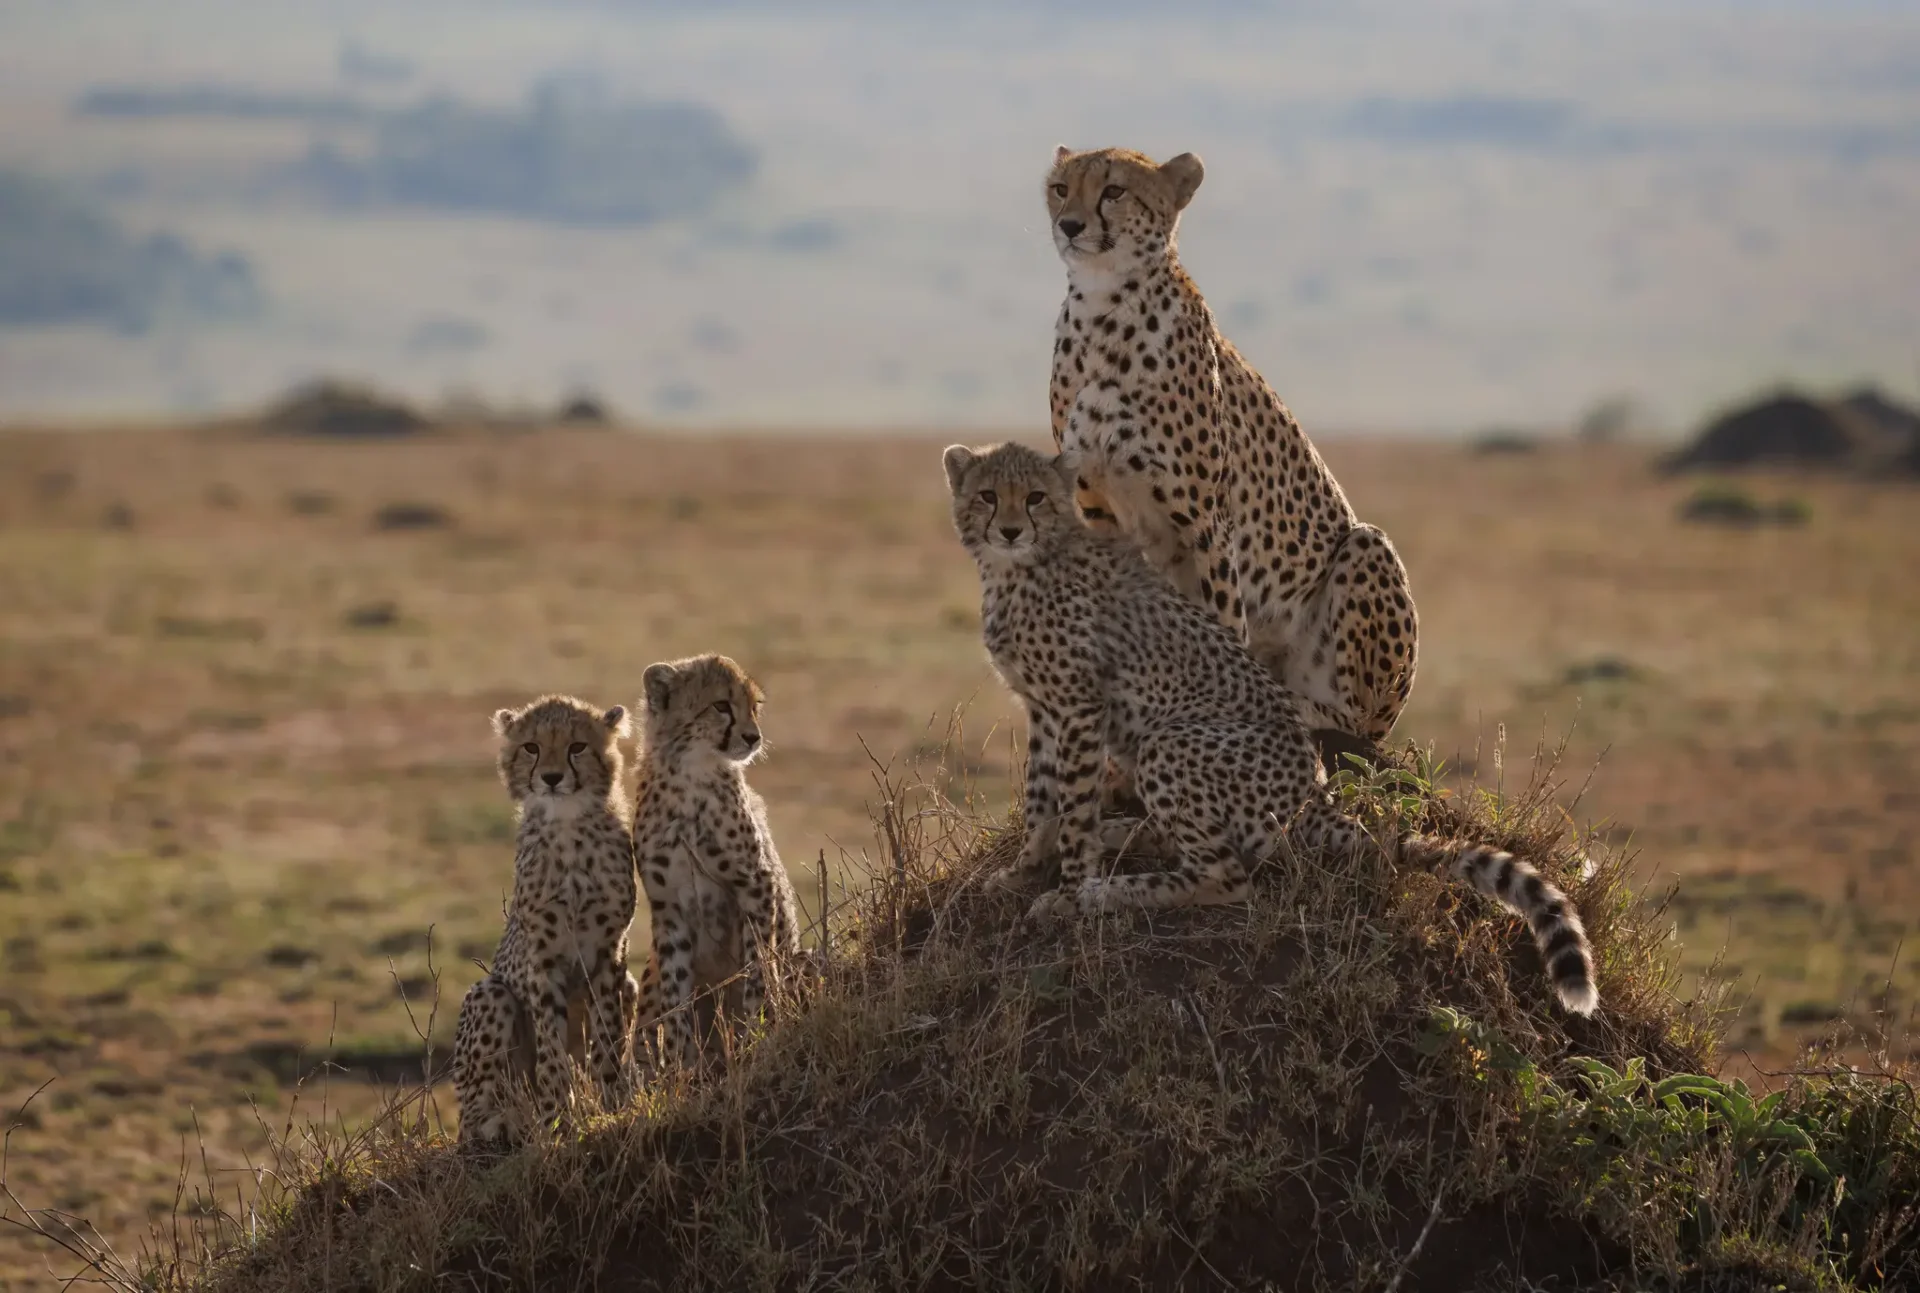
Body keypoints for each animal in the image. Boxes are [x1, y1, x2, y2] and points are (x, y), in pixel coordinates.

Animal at [452, 695, 641, 1149]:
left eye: (577, 747)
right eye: (532, 748)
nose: (552, 778)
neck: (568, 827)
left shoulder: (610, 954)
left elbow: (607, 1038)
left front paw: (611, 1107)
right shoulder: (542, 958)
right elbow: (552, 1051)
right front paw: (559, 1120)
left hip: (629, 984)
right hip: (490, 995)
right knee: (471, 1118)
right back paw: (504, 1122)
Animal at [631, 654, 802, 1066]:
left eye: (755, 706)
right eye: (721, 705)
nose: (753, 737)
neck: (690, 780)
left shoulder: (755, 884)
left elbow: (758, 966)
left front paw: (758, 1030)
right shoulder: (669, 907)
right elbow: (675, 993)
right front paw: (680, 1064)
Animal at [945, 439, 1597, 1015]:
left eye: (1035, 498)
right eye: (987, 496)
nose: (1010, 530)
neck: (1021, 568)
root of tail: (1313, 792)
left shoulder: (1079, 706)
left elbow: (1073, 810)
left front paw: (1069, 893)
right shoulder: (1044, 708)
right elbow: (1040, 800)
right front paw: (1023, 870)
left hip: (1169, 741)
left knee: (1228, 879)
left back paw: (1113, 890)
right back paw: (1123, 836)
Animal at [1044, 145, 1418, 771]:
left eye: (1114, 191)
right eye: (1059, 187)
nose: (1069, 224)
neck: (1102, 308)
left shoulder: (1205, 521)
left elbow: (1222, 618)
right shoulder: (1096, 509)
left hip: (1366, 553)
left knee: (1357, 728)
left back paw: (1305, 708)